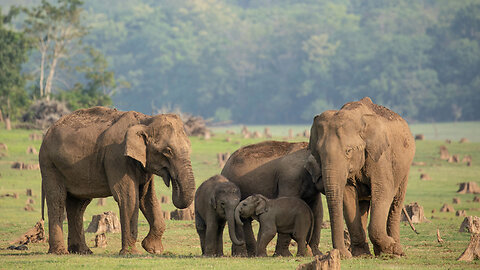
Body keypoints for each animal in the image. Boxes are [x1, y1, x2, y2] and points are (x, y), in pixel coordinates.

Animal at [39, 106, 196, 255]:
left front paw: (153, 250)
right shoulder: (117, 158)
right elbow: (129, 197)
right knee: (57, 199)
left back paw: (82, 251)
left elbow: (147, 198)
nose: (172, 180)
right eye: (167, 151)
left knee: (78, 205)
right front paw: (133, 253)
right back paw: (60, 252)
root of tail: (47, 132)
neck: (146, 120)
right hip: (49, 165)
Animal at [310, 97, 414, 258]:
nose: (343, 254)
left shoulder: (380, 156)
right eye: (318, 154)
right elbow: (347, 195)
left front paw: (390, 248)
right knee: (363, 205)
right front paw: (360, 255)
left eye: (348, 151)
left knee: (396, 202)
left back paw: (397, 251)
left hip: (404, 168)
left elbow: (383, 190)